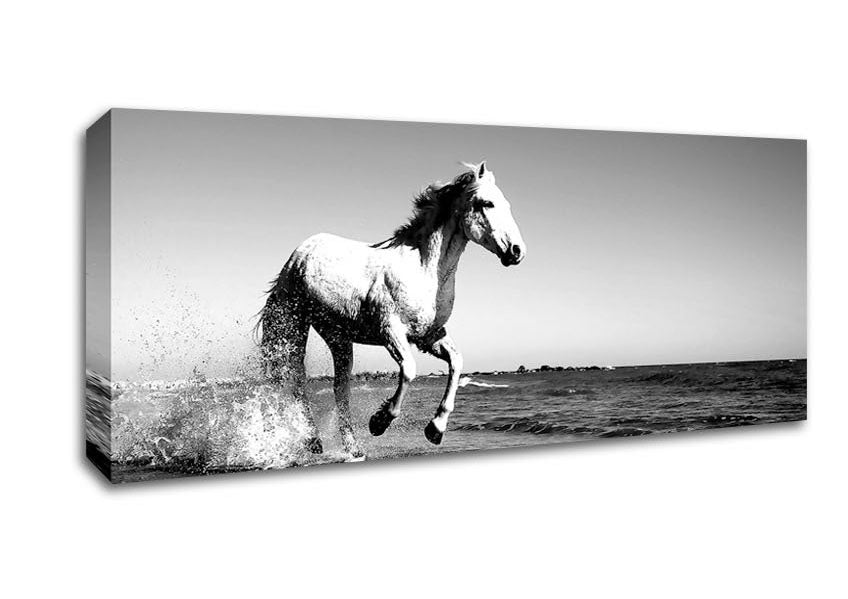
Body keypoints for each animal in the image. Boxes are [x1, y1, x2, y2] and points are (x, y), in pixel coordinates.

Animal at [258, 161, 525, 459]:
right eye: (487, 203)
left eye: (506, 204)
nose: (517, 251)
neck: (423, 270)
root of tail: (299, 254)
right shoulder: (391, 331)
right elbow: (409, 369)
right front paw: (379, 421)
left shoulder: (429, 336)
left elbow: (457, 363)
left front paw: (435, 429)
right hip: (295, 326)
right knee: (297, 379)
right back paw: (313, 440)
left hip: (338, 338)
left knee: (340, 389)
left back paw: (353, 447)